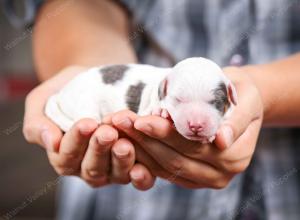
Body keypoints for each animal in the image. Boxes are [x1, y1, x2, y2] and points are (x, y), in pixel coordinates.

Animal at [45, 57, 237, 143]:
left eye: (216, 102)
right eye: (178, 100)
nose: (196, 126)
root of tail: (60, 94)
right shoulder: (145, 108)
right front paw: (161, 111)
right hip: (85, 101)